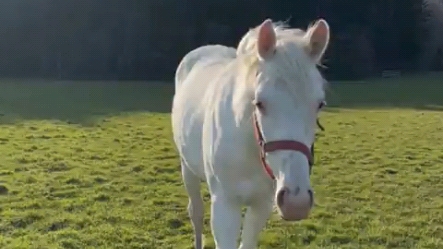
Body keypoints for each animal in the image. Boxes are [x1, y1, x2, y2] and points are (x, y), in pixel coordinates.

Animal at [172, 18, 332, 249]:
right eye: (259, 103)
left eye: (319, 104)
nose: (296, 202)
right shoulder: (225, 206)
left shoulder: (261, 204)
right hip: (188, 169)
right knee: (196, 212)